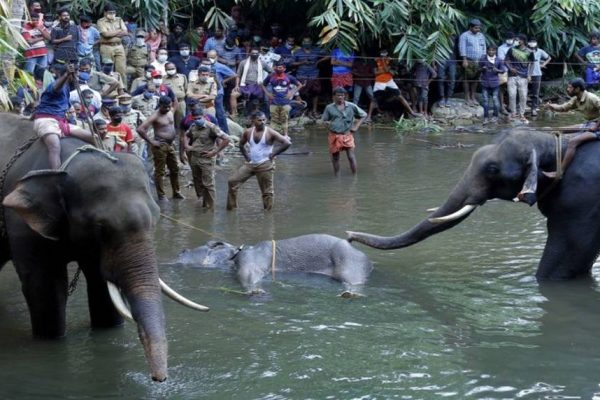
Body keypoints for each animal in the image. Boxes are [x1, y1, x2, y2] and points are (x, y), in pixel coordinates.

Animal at [0, 113, 207, 382]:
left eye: (156, 218)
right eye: (100, 228)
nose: (159, 379)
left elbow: (100, 285)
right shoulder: (22, 224)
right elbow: (46, 287)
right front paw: (51, 340)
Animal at [176, 233, 372, 296]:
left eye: (209, 245)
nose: (181, 250)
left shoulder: (250, 260)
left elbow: (249, 275)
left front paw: (255, 291)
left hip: (350, 264)